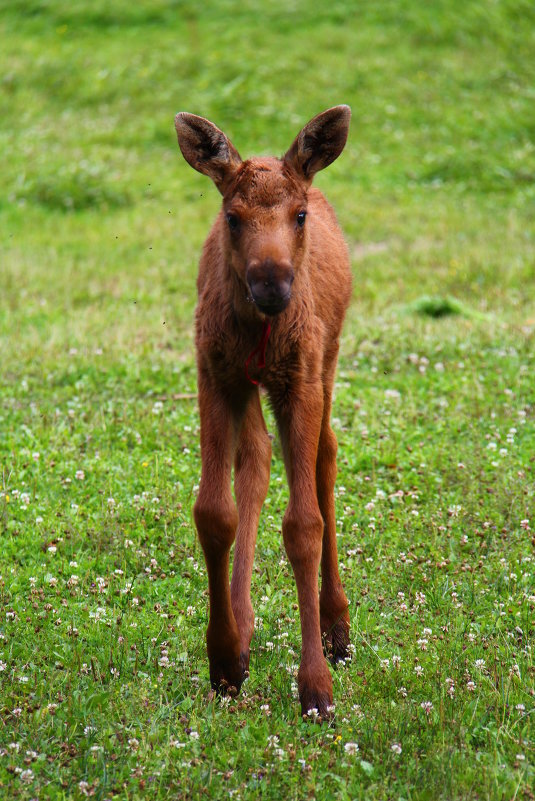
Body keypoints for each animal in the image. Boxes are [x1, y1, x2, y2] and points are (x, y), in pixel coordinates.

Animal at [174, 103, 354, 716]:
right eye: (232, 217)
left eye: (298, 215)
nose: (271, 284)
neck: (259, 333)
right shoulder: (214, 373)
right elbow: (213, 513)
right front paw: (223, 660)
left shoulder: (299, 380)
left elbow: (303, 525)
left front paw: (315, 686)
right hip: (252, 386)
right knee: (255, 456)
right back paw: (244, 626)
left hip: (327, 361)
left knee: (325, 457)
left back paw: (338, 626)